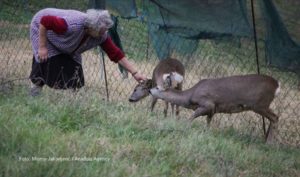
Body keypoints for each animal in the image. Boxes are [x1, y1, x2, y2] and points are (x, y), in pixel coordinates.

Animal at [151, 74, 280, 145]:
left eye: (157, 87)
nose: (149, 90)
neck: (190, 96)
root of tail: (277, 85)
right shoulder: (213, 109)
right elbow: (208, 122)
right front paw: (206, 134)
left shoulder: (208, 104)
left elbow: (192, 117)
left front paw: (184, 128)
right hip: (262, 105)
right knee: (274, 118)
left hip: (259, 104)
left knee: (275, 117)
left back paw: (269, 143)